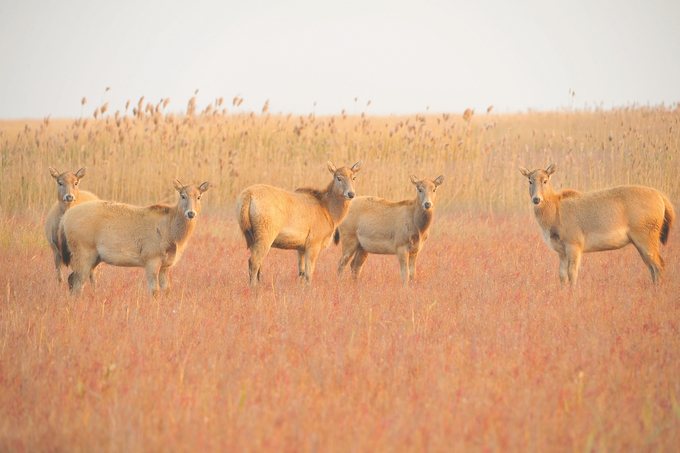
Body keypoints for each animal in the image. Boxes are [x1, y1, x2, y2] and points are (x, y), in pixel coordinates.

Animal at [59, 178, 211, 298]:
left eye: (199, 196)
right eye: (182, 196)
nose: (191, 213)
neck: (172, 234)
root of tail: (65, 220)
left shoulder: (166, 265)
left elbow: (166, 290)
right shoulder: (152, 258)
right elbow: (154, 291)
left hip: (94, 257)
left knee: (72, 279)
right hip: (82, 251)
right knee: (77, 282)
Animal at [520, 164, 676, 286]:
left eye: (545, 180)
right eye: (530, 181)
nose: (536, 199)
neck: (555, 213)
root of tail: (662, 198)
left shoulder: (574, 243)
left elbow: (572, 273)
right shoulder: (561, 250)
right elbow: (562, 275)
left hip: (646, 236)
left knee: (659, 264)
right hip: (641, 242)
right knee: (652, 266)